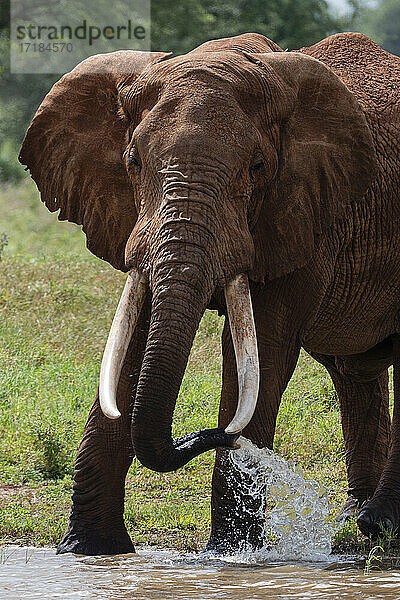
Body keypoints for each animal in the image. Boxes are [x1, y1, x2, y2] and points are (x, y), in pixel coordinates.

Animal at [19, 32, 400, 556]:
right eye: (133, 161)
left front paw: (229, 557)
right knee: (354, 374)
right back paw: (356, 527)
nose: (217, 436)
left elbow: (260, 354)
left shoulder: (303, 218)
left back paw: (378, 525)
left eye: (258, 167)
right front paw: (88, 551)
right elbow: (135, 340)